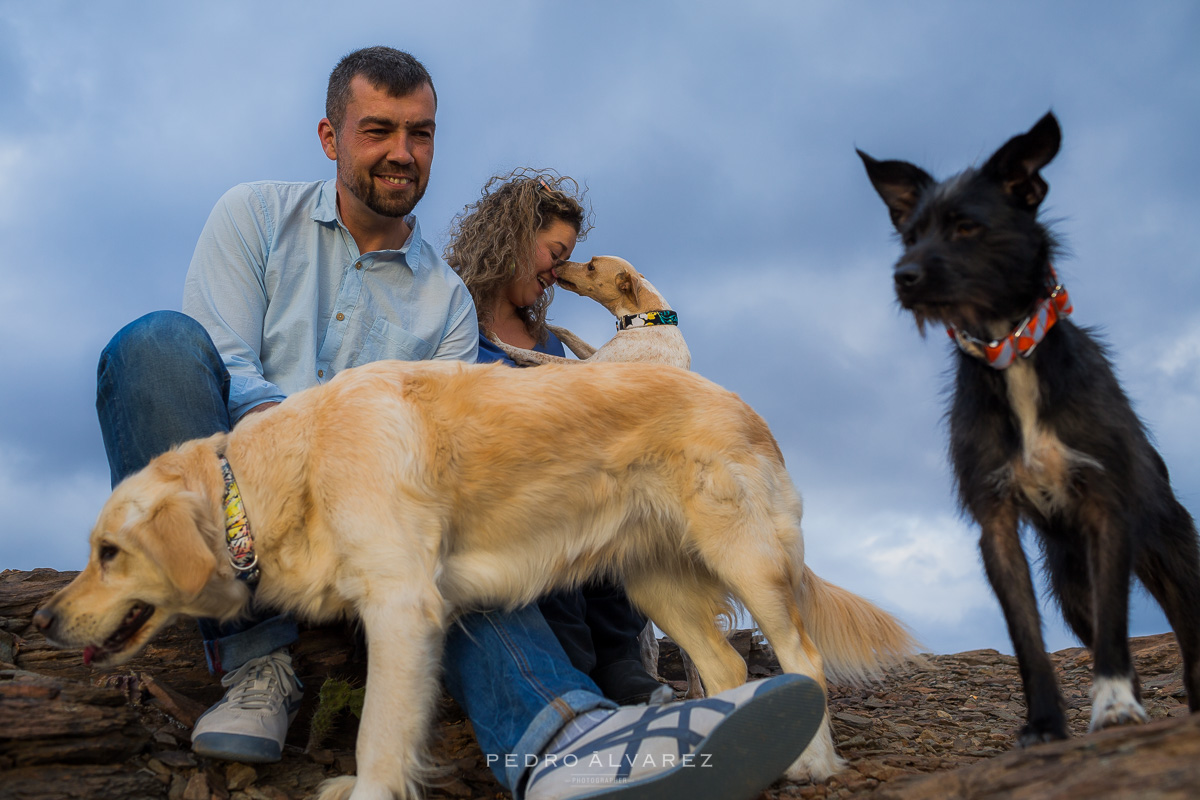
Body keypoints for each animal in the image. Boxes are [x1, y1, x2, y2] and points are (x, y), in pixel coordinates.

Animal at [37, 359, 916, 796]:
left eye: (108, 552)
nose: (46, 619)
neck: (278, 475)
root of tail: (743, 399)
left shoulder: (403, 606)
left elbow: (378, 737)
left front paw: (369, 792)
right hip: (654, 579)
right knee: (730, 666)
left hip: (746, 553)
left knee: (800, 656)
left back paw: (809, 762)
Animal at [859, 110, 1200, 743]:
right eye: (909, 237)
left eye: (967, 227)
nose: (902, 277)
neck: (1011, 351)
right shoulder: (995, 524)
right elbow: (1028, 642)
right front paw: (1044, 724)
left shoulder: (1106, 513)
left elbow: (1116, 631)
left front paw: (1113, 706)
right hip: (1070, 587)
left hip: (1173, 558)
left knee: (1189, 637)